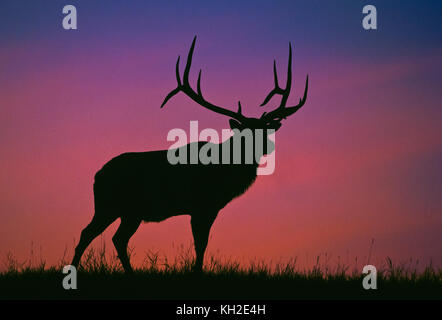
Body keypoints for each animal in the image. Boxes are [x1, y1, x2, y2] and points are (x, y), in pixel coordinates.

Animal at [71, 37, 308, 272]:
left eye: (265, 129)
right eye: (246, 132)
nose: (268, 146)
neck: (225, 174)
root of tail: (97, 175)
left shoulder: (209, 208)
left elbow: (202, 243)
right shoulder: (201, 205)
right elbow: (200, 244)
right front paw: (197, 271)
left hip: (131, 212)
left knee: (117, 239)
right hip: (108, 205)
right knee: (87, 233)